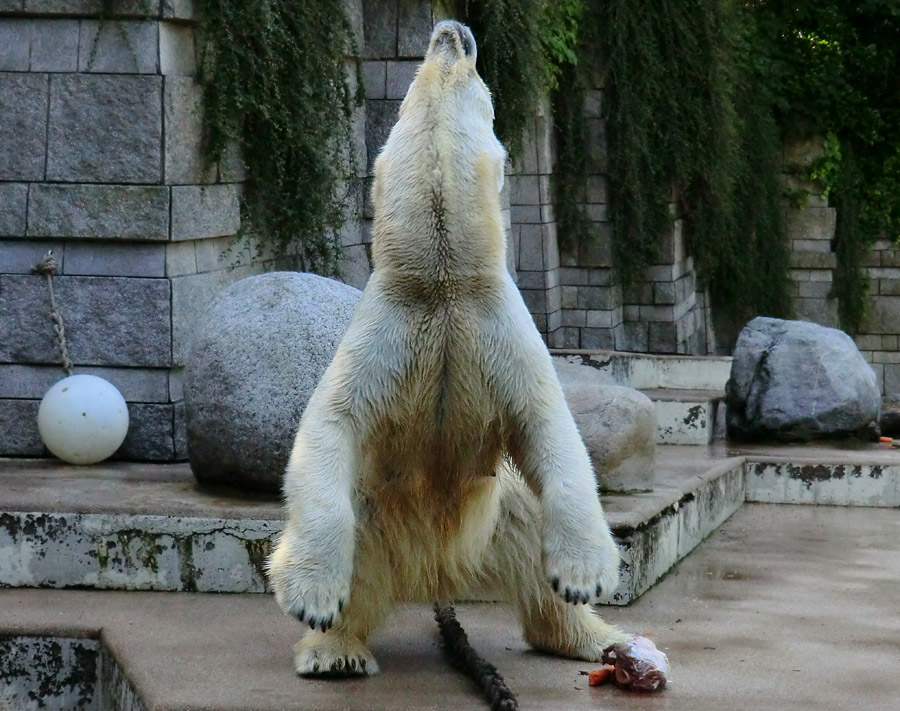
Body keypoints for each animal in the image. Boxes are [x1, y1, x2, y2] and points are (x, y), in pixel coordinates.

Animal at [268, 19, 628, 680]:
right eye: (417, 80)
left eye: (472, 78)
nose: (452, 30)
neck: (442, 281)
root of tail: (436, 573)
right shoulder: (389, 327)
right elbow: (330, 423)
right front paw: (310, 597)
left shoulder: (496, 328)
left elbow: (550, 426)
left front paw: (586, 577)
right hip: (377, 522)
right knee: (361, 565)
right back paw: (334, 651)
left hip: (500, 514)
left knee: (530, 545)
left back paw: (592, 636)